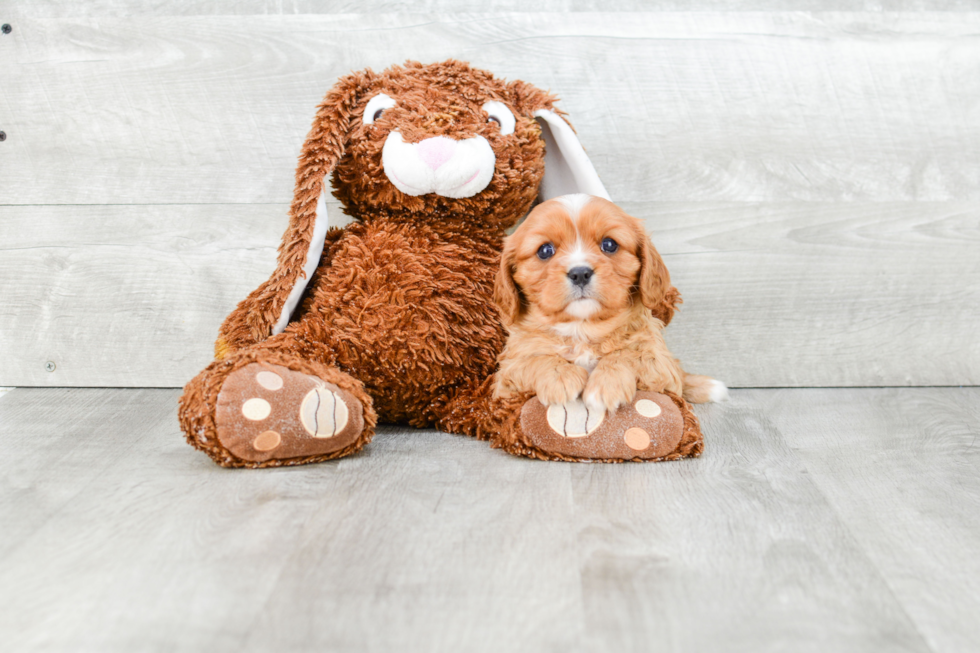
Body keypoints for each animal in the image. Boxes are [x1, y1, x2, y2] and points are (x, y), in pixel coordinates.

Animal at [494, 194, 724, 412]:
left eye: (609, 244)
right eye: (544, 250)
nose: (580, 273)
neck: (582, 329)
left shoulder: (660, 363)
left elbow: (630, 354)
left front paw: (606, 385)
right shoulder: (504, 379)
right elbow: (533, 359)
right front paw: (560, 377)